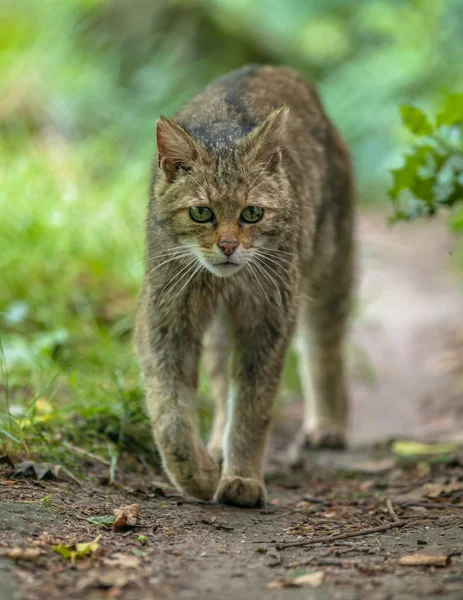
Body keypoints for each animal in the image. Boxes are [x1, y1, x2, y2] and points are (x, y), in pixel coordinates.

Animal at [134, 64, 356, 506]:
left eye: (252, 213)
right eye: (201, 213)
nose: (228, 246)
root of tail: (272, 66)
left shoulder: (269, 320)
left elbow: (254, 407)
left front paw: (242, 479)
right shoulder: (166, 320)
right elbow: (170, 414)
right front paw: (199, 474)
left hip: (328, 271)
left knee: (324, 347)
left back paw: (328, 422)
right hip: (223, 325)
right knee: (223, 385)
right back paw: (216, 444)